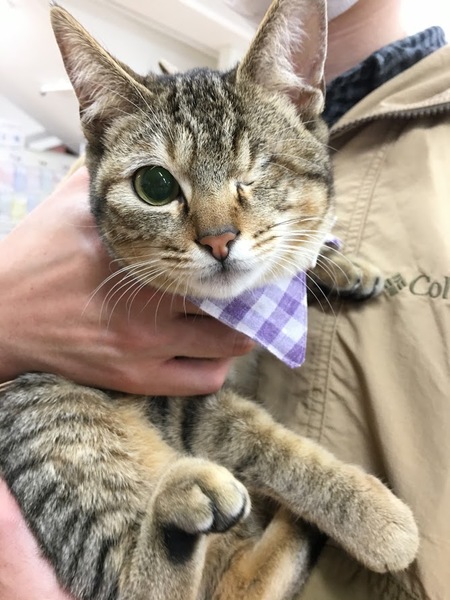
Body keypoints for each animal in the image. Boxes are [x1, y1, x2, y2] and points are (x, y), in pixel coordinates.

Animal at [0, 1, 418, 599]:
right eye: (155, 185)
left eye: (259, 170)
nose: (219, 239)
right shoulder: (181, 392)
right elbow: (268, 441)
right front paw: (373, 514)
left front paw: (338, 262)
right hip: (57, 415)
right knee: (157, 584)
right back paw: (189, 510)